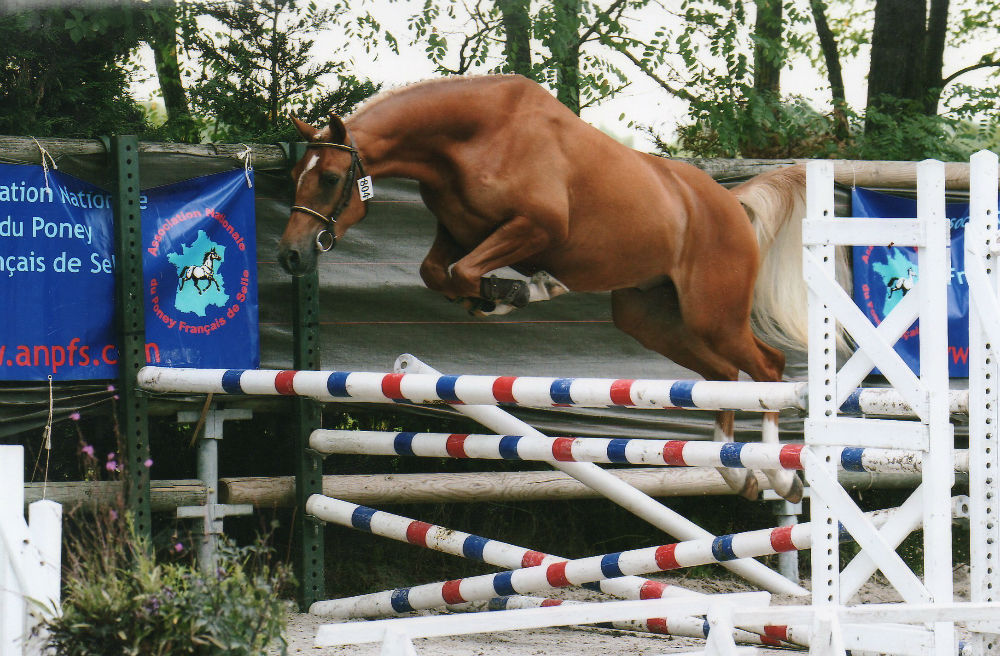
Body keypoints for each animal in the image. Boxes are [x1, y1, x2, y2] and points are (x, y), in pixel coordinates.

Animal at [280, 74, 820, 502]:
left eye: (330, 178)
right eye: (294, 177)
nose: (292, 255)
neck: (473, 138)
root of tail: (732, 203)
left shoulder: (536, 228)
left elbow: (463, 272)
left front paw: (522, 292)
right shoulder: (456, 232)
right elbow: (439, 273)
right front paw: (495, 296)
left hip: (714, 313)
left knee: (766, 368)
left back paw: (780, 476)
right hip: (650, 319)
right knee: (723, 375)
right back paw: (736, 473)